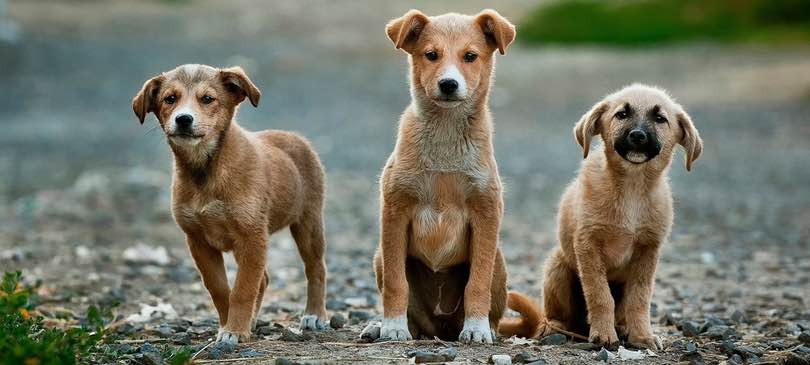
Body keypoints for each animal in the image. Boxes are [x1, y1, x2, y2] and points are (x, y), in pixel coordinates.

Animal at [131, 64, 326, 342]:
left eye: (207, 99)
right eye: (170, 99)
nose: (183, 119)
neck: (206, 170)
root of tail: (294, 137)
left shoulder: (252, 236)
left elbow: (243, 289)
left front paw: (234, 331)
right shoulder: (198, 241)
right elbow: (221, 289)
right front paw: (229, 325)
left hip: (308, 223)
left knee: (316, 268)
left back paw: (314, 315)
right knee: (264, 279)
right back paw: (253, 321)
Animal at [358, 9, 516, 344]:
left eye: (470, 56)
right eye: (431, 55)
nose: (448, 84)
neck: (445, 135)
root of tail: (440, 328)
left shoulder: (486, 213)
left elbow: (477, 283)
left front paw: (477, 328)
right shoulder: (395, 211)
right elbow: (396, 283)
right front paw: (392, 326)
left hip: (498, 260)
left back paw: (486, 328)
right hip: (379, 256)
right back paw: (382, 325)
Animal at [498, 84, 700, 348]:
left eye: (660, 118)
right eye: (621, 114)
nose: (638, 136)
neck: (632, 188)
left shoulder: (648, 251)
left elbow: (640, 299)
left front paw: (642, 336)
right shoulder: (588, 244)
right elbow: (600, 295)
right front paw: (603, 334)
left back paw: (622, 328)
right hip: (557, 267)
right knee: (556, 315)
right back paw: (555, 328)